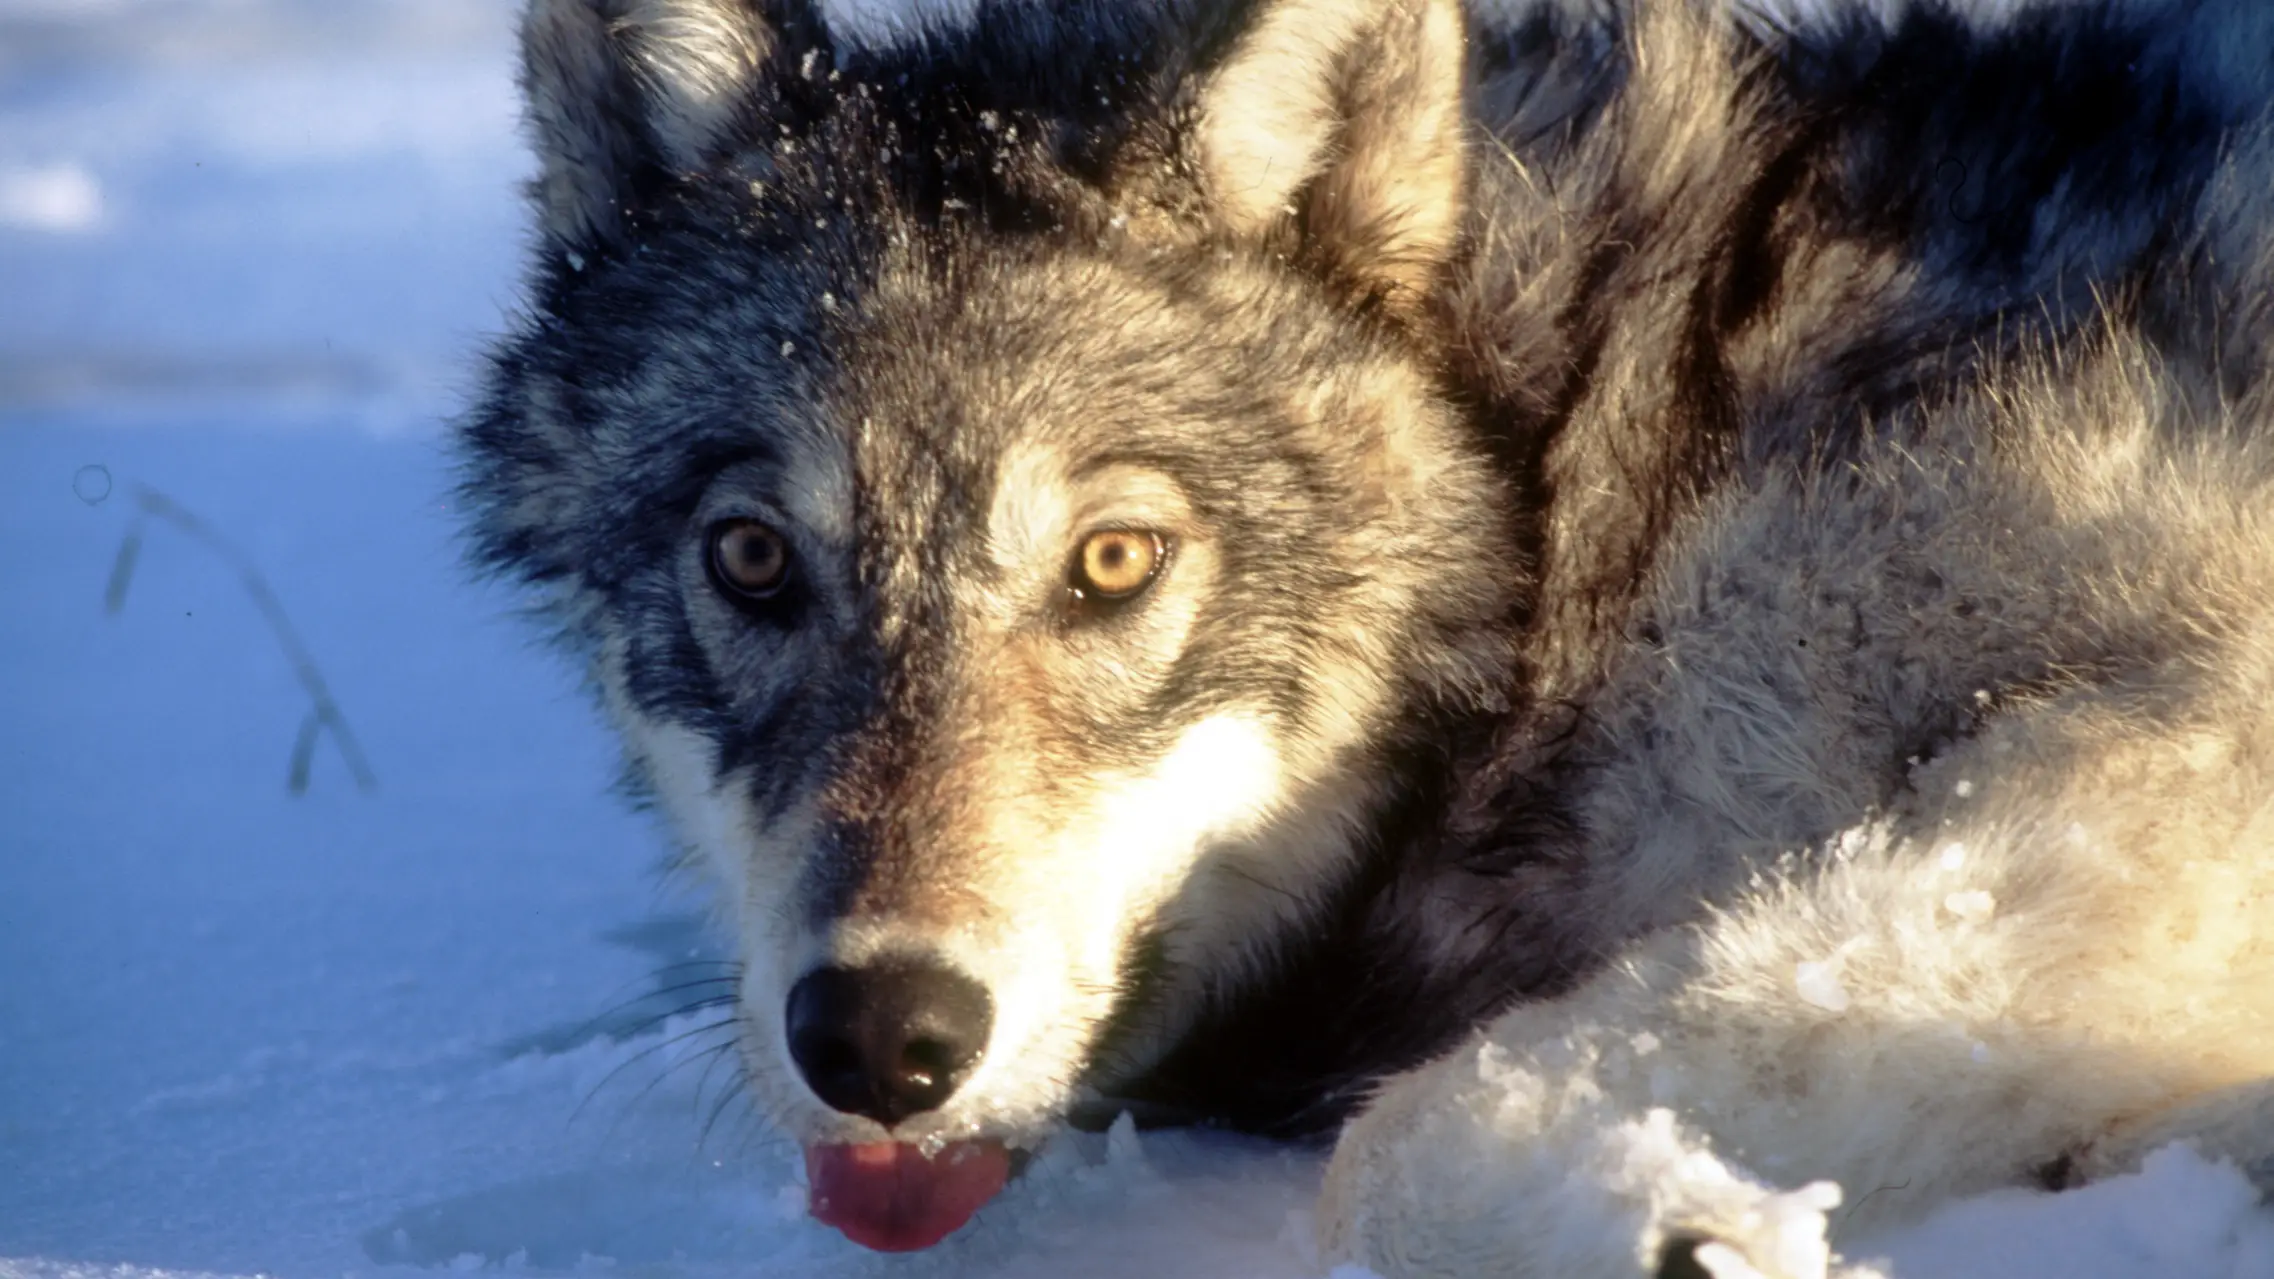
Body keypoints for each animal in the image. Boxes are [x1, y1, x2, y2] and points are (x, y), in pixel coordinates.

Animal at [459, 0, 2274, 1273]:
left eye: (1112, 560)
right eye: (753, 558)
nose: (876, 1037)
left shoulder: (2183, 730)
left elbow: (1402, 1148)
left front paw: (1663, 1235)